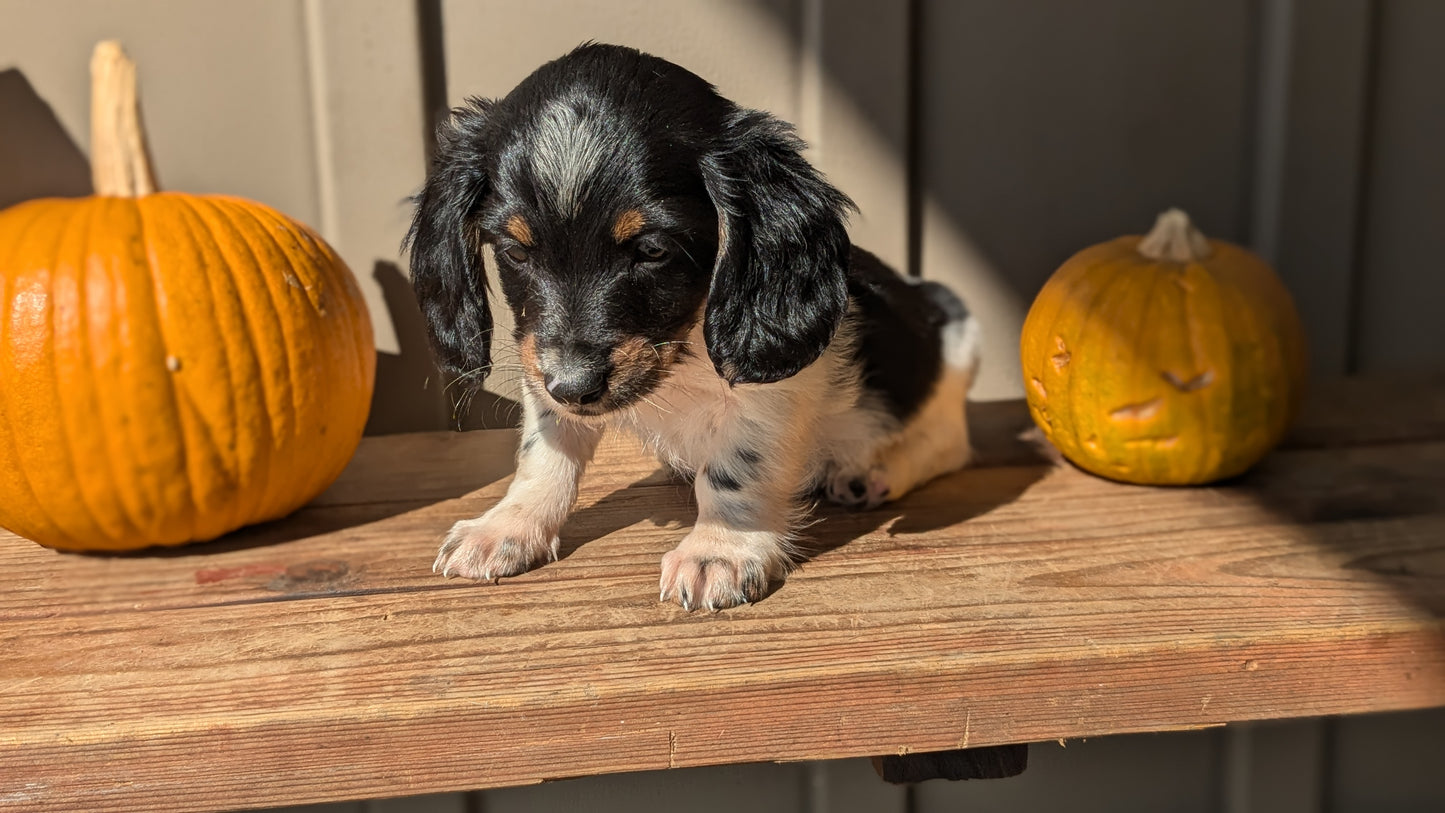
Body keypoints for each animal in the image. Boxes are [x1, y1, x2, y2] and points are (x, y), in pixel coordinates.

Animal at [404, 41, 982, 606]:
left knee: (947, 443)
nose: (573, 387)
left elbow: (733, 470)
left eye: (653, 250)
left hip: (956, 349)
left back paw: (872, 471)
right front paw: (507, 526)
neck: (683, 350)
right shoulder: (538, 366)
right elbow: (543, 454)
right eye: (515, 251)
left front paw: (718, 550)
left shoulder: (768, 396)